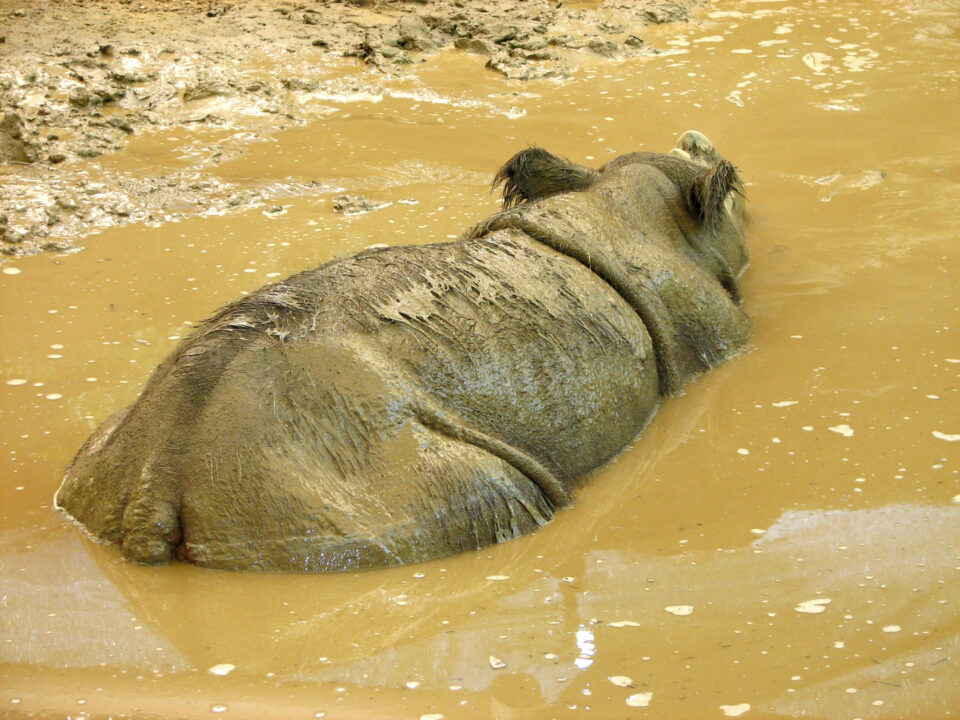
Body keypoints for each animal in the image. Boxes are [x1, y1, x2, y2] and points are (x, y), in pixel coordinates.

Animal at [55, 131, 750, 572]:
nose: (698, 133)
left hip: (143, 458)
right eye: (738, 199)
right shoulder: (717, 331)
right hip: (348, 474)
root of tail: (156, 485)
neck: (629, 208)